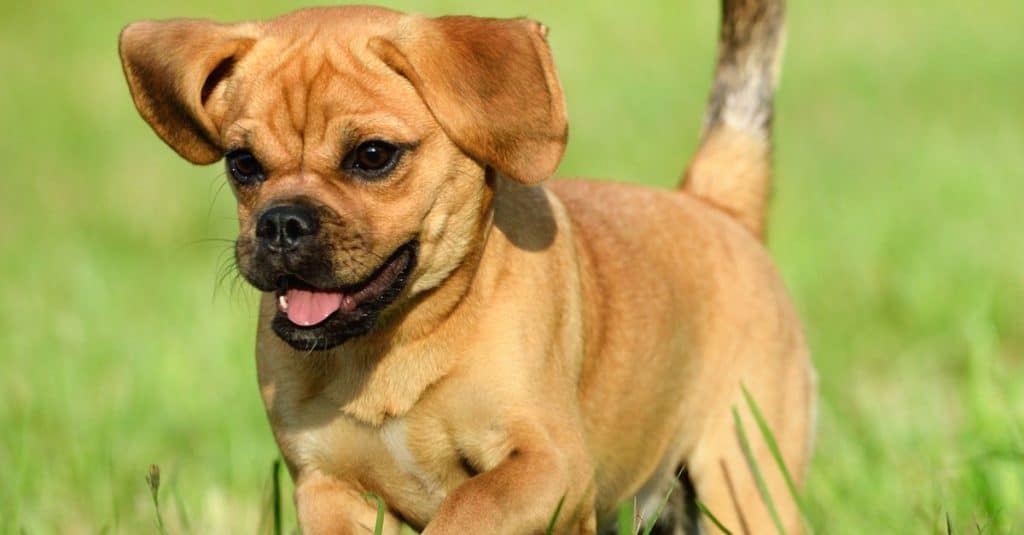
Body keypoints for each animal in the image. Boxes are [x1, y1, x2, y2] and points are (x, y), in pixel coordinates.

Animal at [117, 1, 815, 528]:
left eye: (373, 155)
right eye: (242, 164)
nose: (282, 223)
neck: (390, 349)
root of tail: (715, 204)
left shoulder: (549, 465)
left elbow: (468, 506)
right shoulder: (327, 486)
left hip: (742, 482)